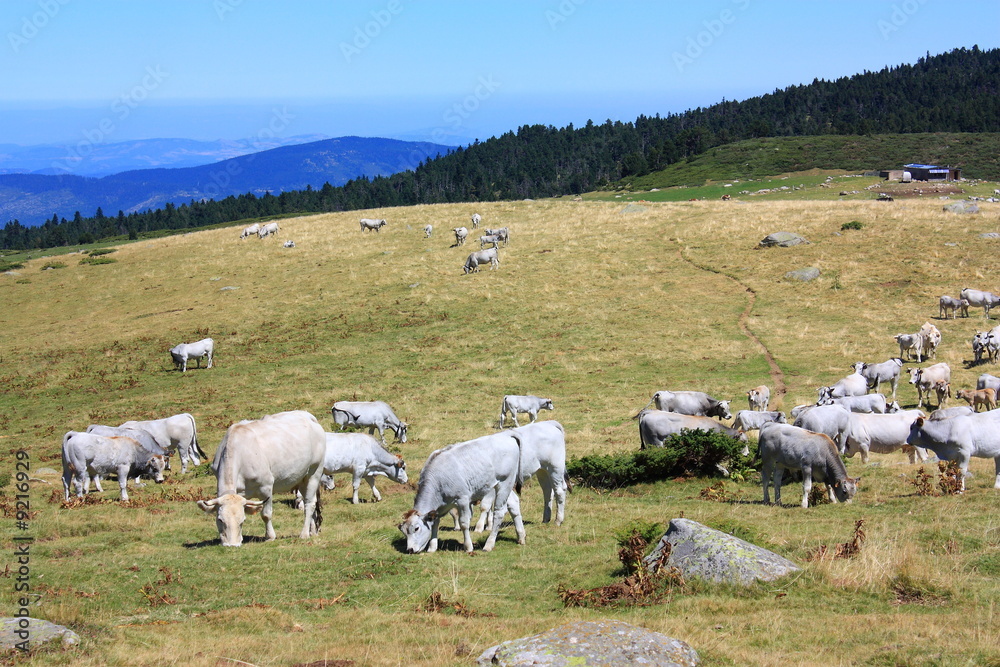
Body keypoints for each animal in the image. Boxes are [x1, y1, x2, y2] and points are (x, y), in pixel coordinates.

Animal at [196, 410, 326, 546]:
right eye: (220, 520)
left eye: (242, 520)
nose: (232, 545)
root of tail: (308, 416)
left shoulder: (266, 487)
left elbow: (266, 514)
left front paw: (270, 536)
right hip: (301, 479)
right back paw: (312, 531)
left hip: (314, 472)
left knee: (309, 504)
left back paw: (304, 534)